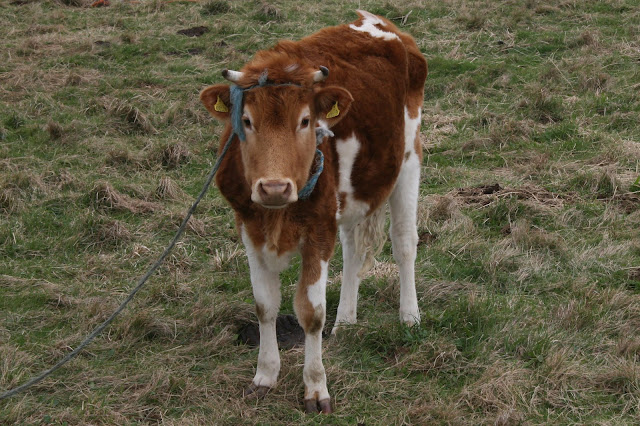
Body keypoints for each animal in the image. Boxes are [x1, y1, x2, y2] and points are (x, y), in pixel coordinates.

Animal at [199, 10, 427, 414]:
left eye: (305, 120)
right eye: (247, 121)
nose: (274, 187)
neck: (277, 214)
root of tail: (378, 21)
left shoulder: (318, 228)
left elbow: (311, 312)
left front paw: (316, 388)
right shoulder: (249, 225)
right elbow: (265, 305)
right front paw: (265, 375)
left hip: (408, 158)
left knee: (404, 242)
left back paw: (409, 317)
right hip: (350, 195)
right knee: (353, 250)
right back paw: (346, 321)